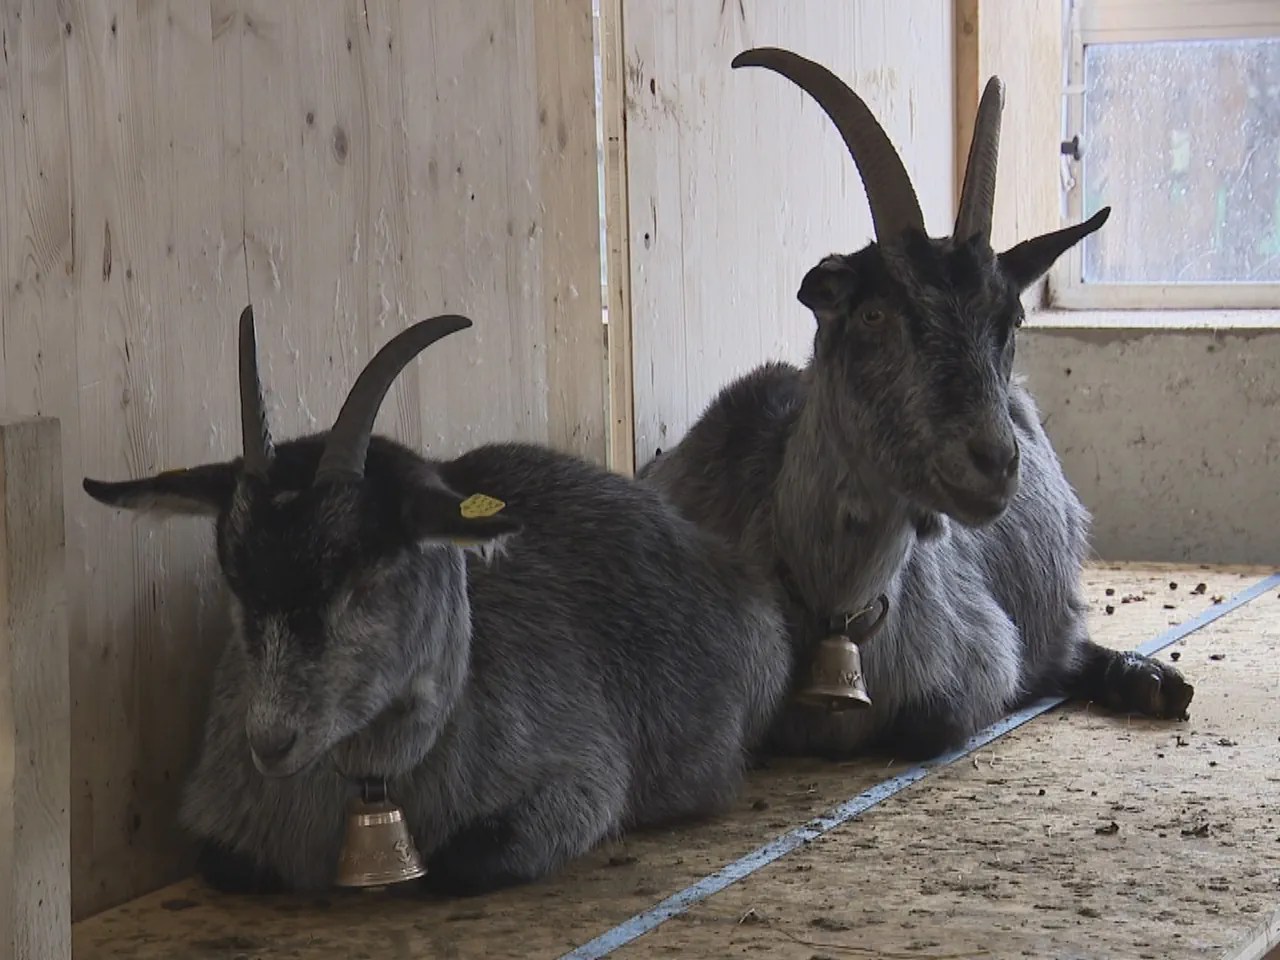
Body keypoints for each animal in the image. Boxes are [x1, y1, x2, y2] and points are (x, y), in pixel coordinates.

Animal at [82, 306, 791, 896]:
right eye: (233, 576)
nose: (272, 741)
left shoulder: (580, 778)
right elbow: (227, 866)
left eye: (367, 573)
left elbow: (463, 864)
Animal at [639, 48, 1193, 762]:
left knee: (1068, 647)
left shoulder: (982, 654)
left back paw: (1148, 680)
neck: (836, 605)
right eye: (873, 313)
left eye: (1011, 318)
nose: (993, 462)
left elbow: (933, 723)